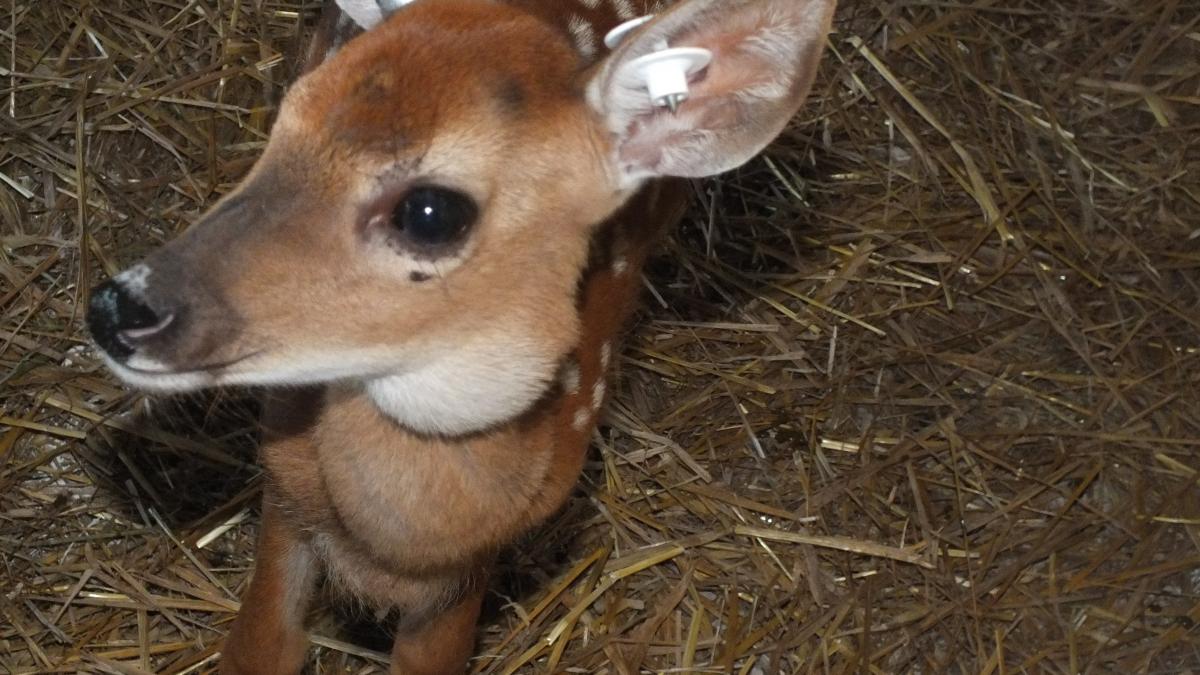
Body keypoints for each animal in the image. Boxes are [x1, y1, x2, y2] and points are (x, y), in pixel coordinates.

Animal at [84, 0, 836, 672]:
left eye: (430, 213)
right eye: (284, 124)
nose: (117, 308)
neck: (397, 544)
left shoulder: (476, 563)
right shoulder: (283, 487)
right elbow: (260, 650)